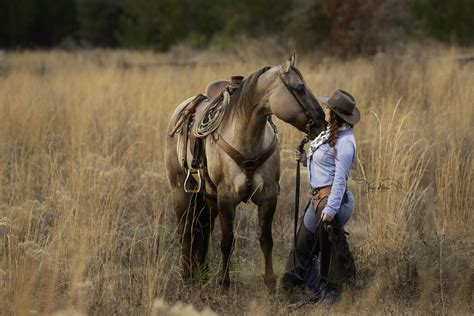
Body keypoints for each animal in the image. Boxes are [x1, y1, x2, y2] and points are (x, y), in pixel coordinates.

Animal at [165, 53, 324, 288]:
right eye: (300, 88)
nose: (323, 122)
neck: (247, 139)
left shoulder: (268, 196)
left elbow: (266, 240)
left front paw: (270, 282)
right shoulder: (227, 198)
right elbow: (227, 241)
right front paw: (224, 282)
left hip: (208, 197)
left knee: (204, 230)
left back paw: (202, 272)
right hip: (181, 191)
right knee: (185, 231)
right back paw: (187, 275)